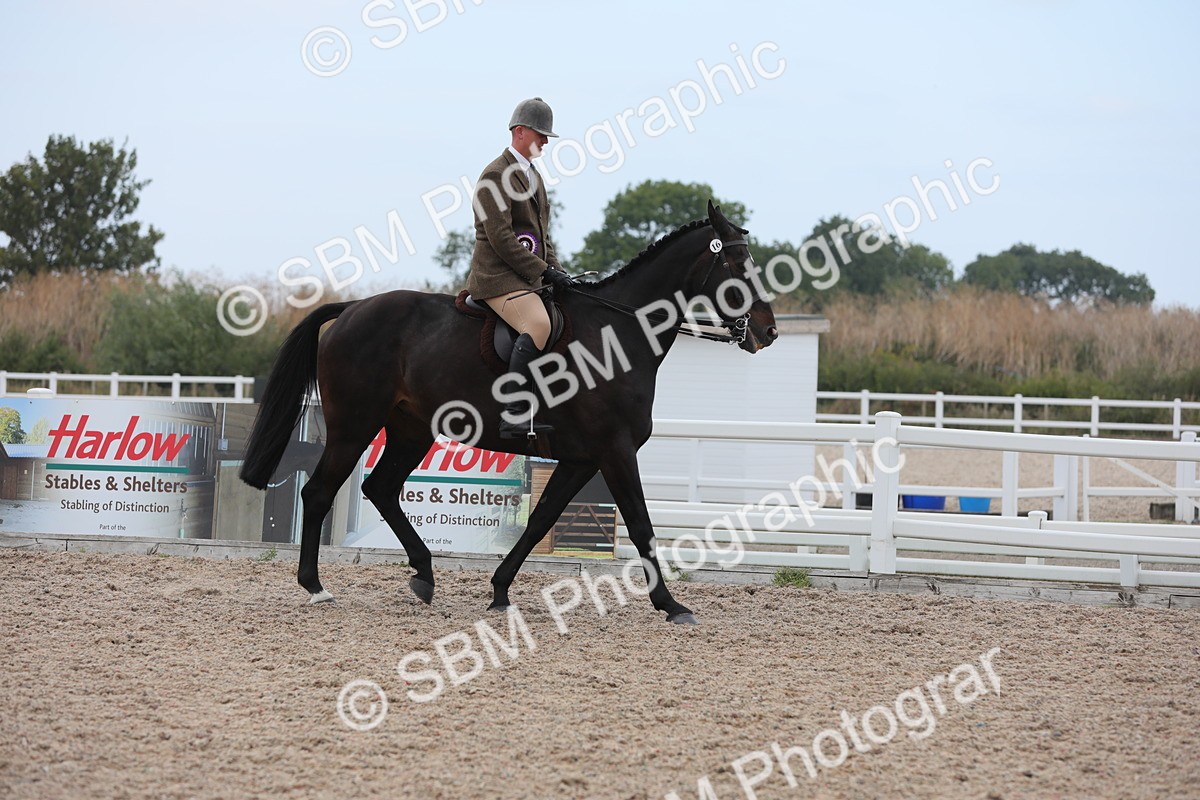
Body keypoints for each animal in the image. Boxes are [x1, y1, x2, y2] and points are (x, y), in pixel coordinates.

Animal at [239, 201, 778, 624]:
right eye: (736, 261)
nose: (768, 332)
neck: (619, 333)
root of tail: (352, 308)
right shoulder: (616, 450)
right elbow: (641, 526)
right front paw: (671, 605)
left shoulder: (581, 458)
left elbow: (540, 521)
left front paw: (500, 591)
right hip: (354, 428)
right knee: (319, 492)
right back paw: (316, 587)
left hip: (411, 430)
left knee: (381, 489)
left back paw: (424, 575)